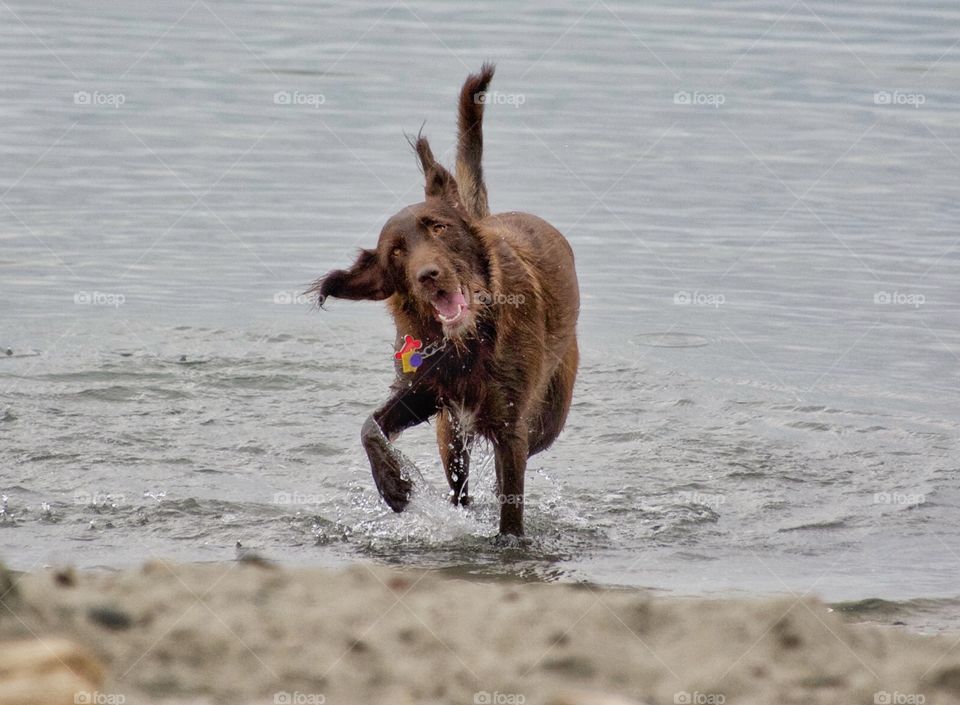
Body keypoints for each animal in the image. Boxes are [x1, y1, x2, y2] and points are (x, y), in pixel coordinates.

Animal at [312, 64, 576, 540]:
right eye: (396, 252)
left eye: (438, 227)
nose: (428, 275)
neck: (470, 341)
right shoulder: (426, 391)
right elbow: (369, 427)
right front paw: (395, 485)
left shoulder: (512, 426)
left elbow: (511, 507)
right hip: (449, 431)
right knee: (460, 484)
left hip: (546, 419)